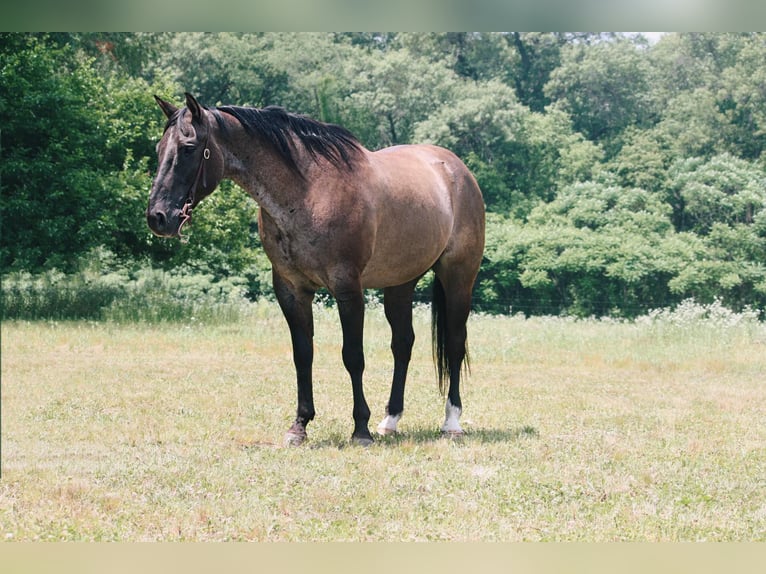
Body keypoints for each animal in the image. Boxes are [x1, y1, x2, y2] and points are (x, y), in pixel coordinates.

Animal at [147, 92, 486, 448]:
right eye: (159, 149)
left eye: (188, 147)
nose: (158, 217)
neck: (308, 192)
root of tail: (456, 169)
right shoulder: (291, 289)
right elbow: (303, 355)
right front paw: (299, 425)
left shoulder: (347, 289)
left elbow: (353, 356)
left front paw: (360, 429)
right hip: (400, 283)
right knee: (403, 344)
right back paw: (390, 420)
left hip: (458, 277)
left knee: (456, 342)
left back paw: (451, 421)